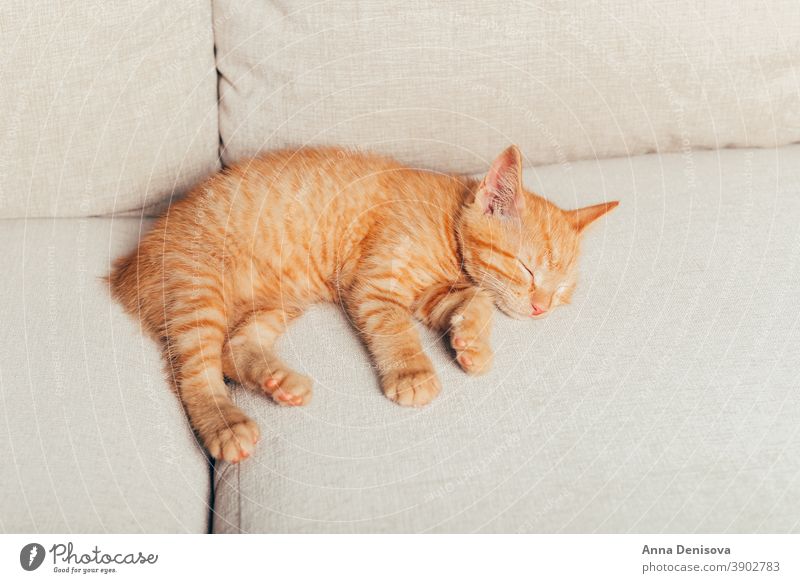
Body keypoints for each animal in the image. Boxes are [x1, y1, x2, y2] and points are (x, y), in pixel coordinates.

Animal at [108, 147, 620, 466]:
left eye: (562, 291)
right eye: (528, 270)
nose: (541, 308)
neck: (447, 226)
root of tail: (128, 267)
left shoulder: (432, 294)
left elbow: (475, 299)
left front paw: (471, 341)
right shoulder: (374, 283)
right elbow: (396, 327)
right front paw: (412, 373)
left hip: (279, 299)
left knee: (232, 349)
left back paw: (279, 383)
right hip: (199, 290)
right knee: (193, 371)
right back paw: (225, 423)